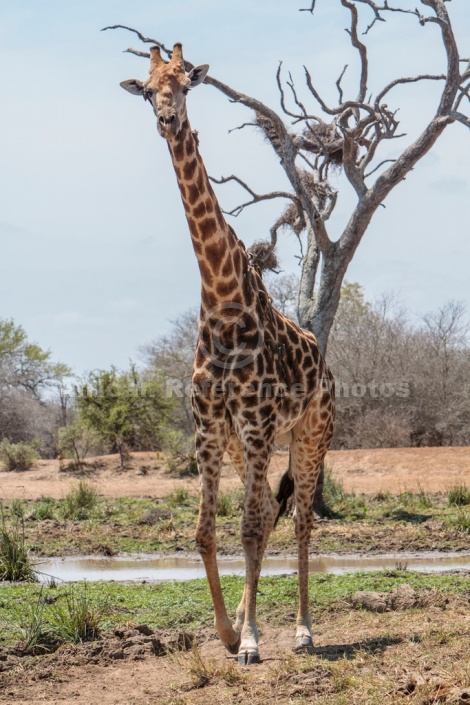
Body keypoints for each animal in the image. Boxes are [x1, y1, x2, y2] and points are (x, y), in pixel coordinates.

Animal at [121, 45, 334, 664]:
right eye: (147, 90)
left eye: (186, 83)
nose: (167, 120)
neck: (219, 299)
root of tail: (329, 368)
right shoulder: (210, 423)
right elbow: (207, 530)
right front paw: (227, 631)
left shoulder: (259, 422)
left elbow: (251, 527)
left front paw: (253, 641)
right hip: (246, 443)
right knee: (264, 508)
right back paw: (247, 620)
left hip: (311, 432)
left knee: (298, 520)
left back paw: (303, 631)